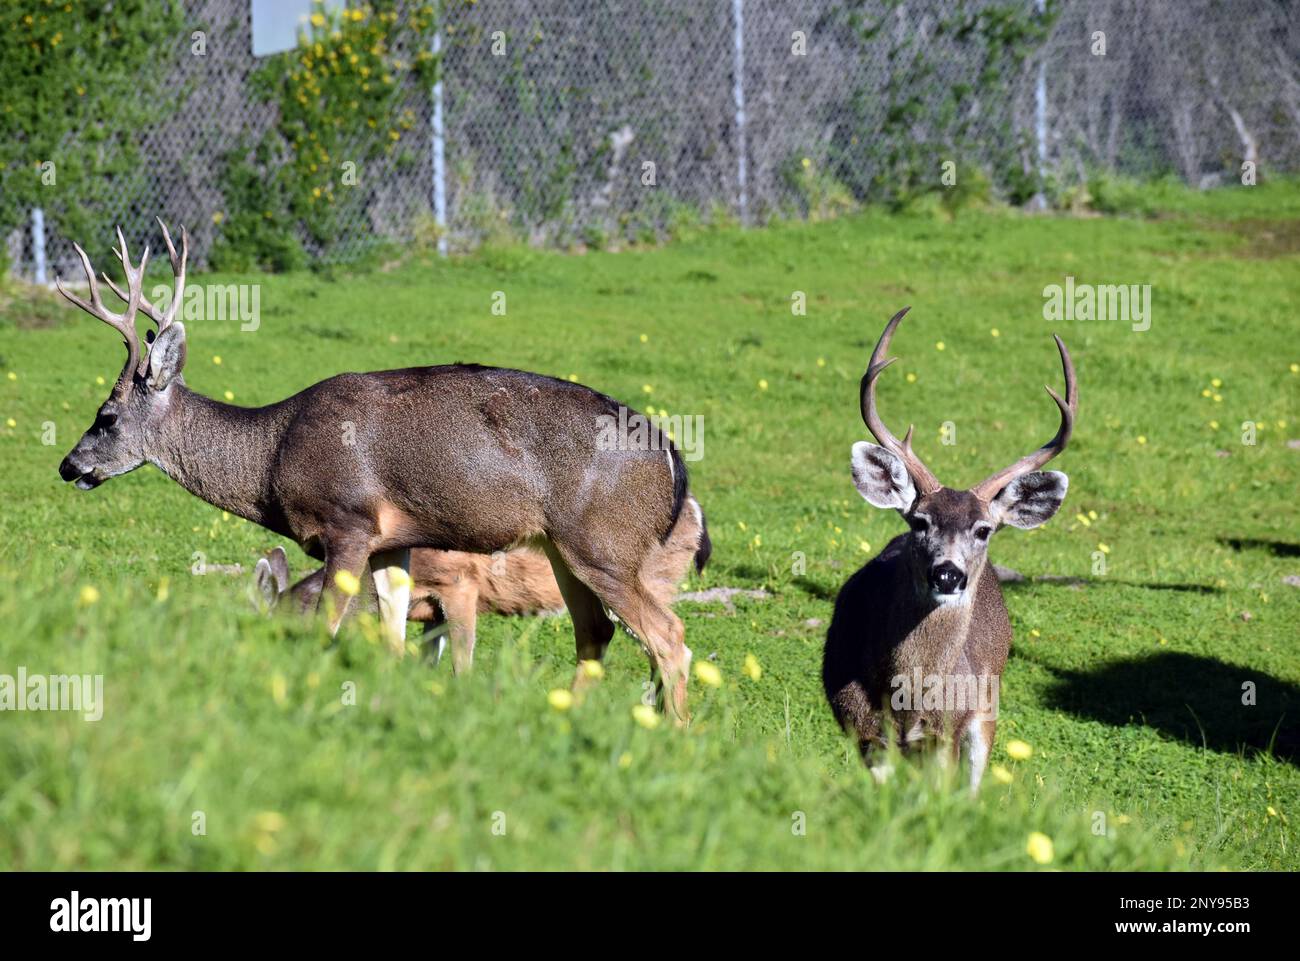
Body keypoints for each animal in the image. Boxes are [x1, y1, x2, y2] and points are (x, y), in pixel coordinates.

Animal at [55, 224, 712, 717]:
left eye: (106, 416)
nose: (68, 465)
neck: (272, 457)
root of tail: (674, 458)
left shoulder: (347, 522)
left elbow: (327, 628)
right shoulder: (394, 540)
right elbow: (395, 638)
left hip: (602, 542)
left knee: (669, 639)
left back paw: (674, 735)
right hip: (562, 547)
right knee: (597, 635)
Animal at [821, 308, 1076, 790]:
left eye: (984, 530)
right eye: (920, 521)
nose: (947, 574)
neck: (909, 699)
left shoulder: (946, 733)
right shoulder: (862, 727)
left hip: (987, 705)